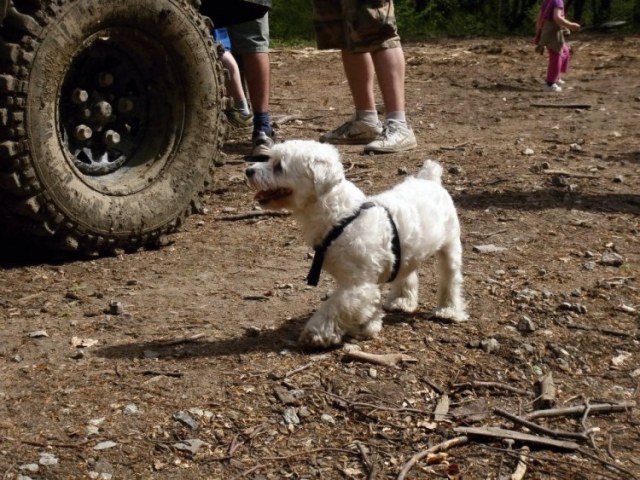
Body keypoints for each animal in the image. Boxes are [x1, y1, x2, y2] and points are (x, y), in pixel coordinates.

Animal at [242, 140, 468, 348]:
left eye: (279, 166)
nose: (248, 170)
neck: (341, 218)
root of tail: (430, 178)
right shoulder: (365, 280)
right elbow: (366, 307)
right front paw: (368, 326)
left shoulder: (357, 285)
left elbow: (335, 306)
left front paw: (317, 333)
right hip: (407, 252)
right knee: (407, 273)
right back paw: (402, 300)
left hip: (450, 246)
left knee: (450, 279)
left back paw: (448, 310)